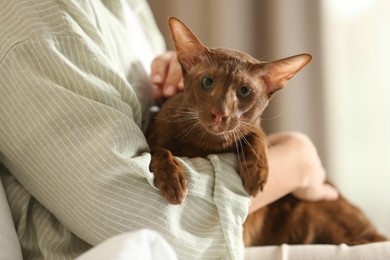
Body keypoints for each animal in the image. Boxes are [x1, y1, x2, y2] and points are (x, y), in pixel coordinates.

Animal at [146, 16, 386, 246]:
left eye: (244, 91)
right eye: (208, 82)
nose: (220, 113)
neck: (206, 143)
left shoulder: (253, 127)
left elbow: (255, 134)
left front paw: (256, 173)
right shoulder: (155, 133)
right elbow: (157, 151)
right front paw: (173, 180)